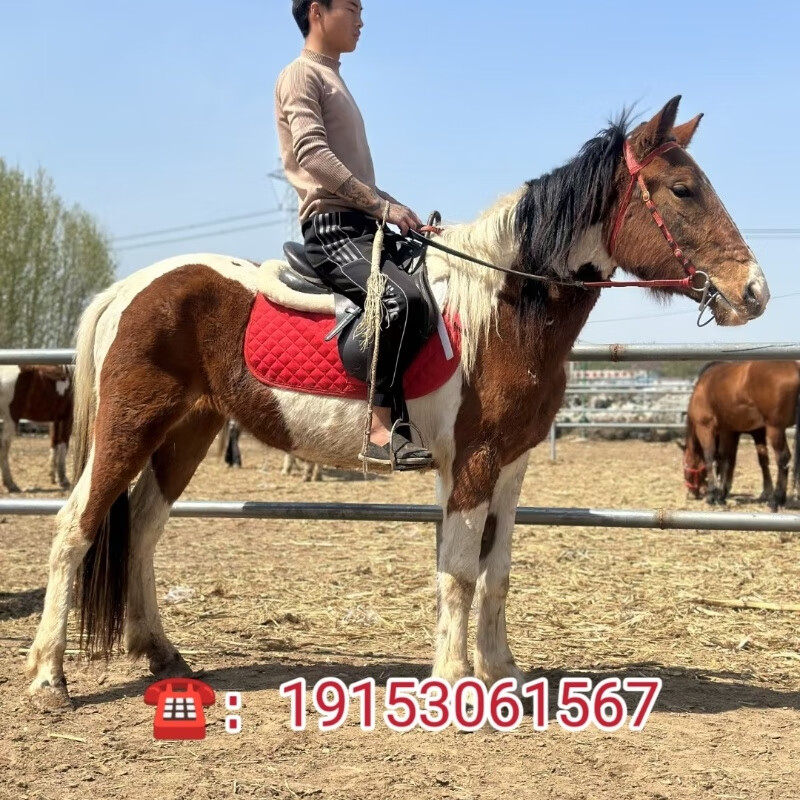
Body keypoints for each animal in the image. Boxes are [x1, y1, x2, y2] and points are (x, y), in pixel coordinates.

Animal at [26, 97, 770, 709]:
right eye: (683, 189)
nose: (755, 291)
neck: (504, 310)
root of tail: (131, 289)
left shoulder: (511, 466)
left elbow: (495, 573)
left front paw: (503, 673)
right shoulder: (472, 463)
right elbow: (459, 574)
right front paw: (454, 682)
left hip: (187, 430)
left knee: (144, 529)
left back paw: (162, 654)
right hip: (130, 427)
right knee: (75, 527)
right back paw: (48, 678)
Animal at [681, 361, 800, 510]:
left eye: (686, 466)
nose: (692, 494)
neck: (702, 388)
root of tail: (795, 367)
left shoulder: (705, 428)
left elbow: (710, 458)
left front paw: (712, 495)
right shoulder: (728, 431)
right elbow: (725, 459)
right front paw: (721, 495)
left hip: (775, 428)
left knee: (783, 458)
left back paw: (775, 500)